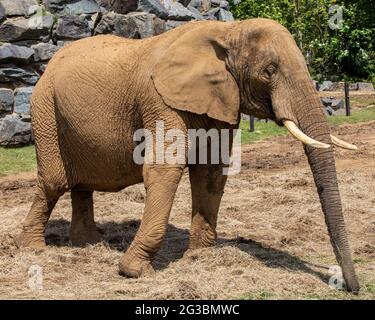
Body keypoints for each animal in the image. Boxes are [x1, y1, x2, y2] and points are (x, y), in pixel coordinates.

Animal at [18, 17, 362, 292]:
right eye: (269, 71)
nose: (351, 287)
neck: (228, 31)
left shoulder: (221, 101)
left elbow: (211, 172)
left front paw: (199, 258)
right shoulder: (159, 100)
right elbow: (164, 169)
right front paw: (135, 272)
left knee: (81, 184)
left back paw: (89, 244)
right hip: (44, 107)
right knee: (54, 182)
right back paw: (34, 249)